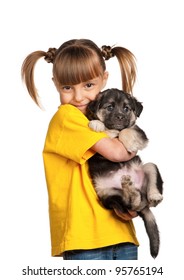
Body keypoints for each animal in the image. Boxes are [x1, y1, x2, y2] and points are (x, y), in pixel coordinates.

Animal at [86, 88, 164, 258]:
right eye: (109, 107)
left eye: (127, 109)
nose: (120, 117)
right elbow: (106, 127)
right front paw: (97, 123)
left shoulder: (139, 132)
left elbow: (127, 130)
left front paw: (128, 142)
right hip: (108, 195)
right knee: (131, 203)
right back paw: (131, 190)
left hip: (149, 167)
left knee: (148, 188)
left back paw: (154, 195)